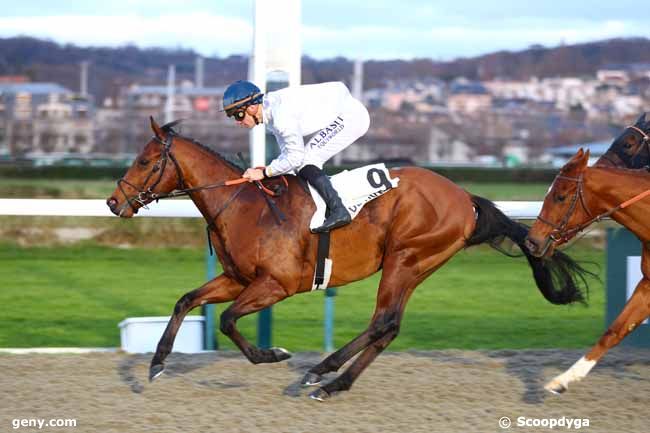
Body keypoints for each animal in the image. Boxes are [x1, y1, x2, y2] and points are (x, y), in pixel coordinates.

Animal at [106, 117, 588, 398]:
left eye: (145, 161)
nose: (114, 202)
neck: (244, 206)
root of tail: (465, 198)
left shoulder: (275, 285)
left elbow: (226, 321)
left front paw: (273, 354)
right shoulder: (239, 279)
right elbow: (186, 300)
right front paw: (156, 363)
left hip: (405, 258)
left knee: (382, 322)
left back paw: (322, 373)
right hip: (415, 266)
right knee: (388, 327)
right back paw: (334, 380)